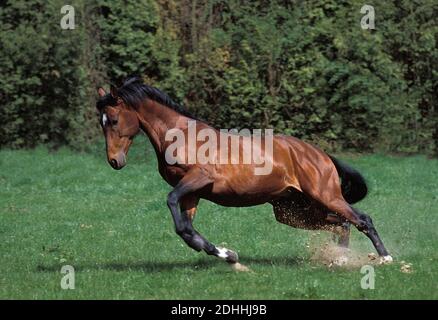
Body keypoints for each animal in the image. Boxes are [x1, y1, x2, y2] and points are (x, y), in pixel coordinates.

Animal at [96, 76, 394, 266]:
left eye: (113, 120)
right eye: (101, 122)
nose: (114, 161)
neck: (180, 136)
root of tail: (319, 155)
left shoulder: (198, 179)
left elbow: (172, 205)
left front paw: (225, 254)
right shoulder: (192, 193)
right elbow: (186, 228)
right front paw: (227, 254)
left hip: (325, 196)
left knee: (361, 219)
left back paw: (385, 257)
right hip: (293, 209)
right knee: (342, 223)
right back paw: (339, 257)